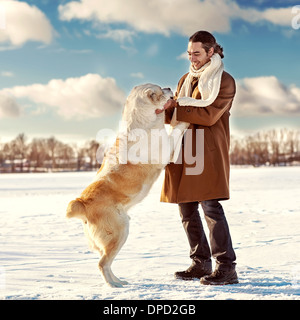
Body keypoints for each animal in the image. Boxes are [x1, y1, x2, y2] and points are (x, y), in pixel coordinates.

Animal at [67, 83, 186, 288]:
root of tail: (83, 204)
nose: (169, 87)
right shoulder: (167, 149)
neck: (142, 122)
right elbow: (176, 129)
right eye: (159, 89)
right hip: (119, 232)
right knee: (102, 264)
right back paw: (113, 286)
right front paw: (183, 119)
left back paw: (120, 282)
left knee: (107, 263)